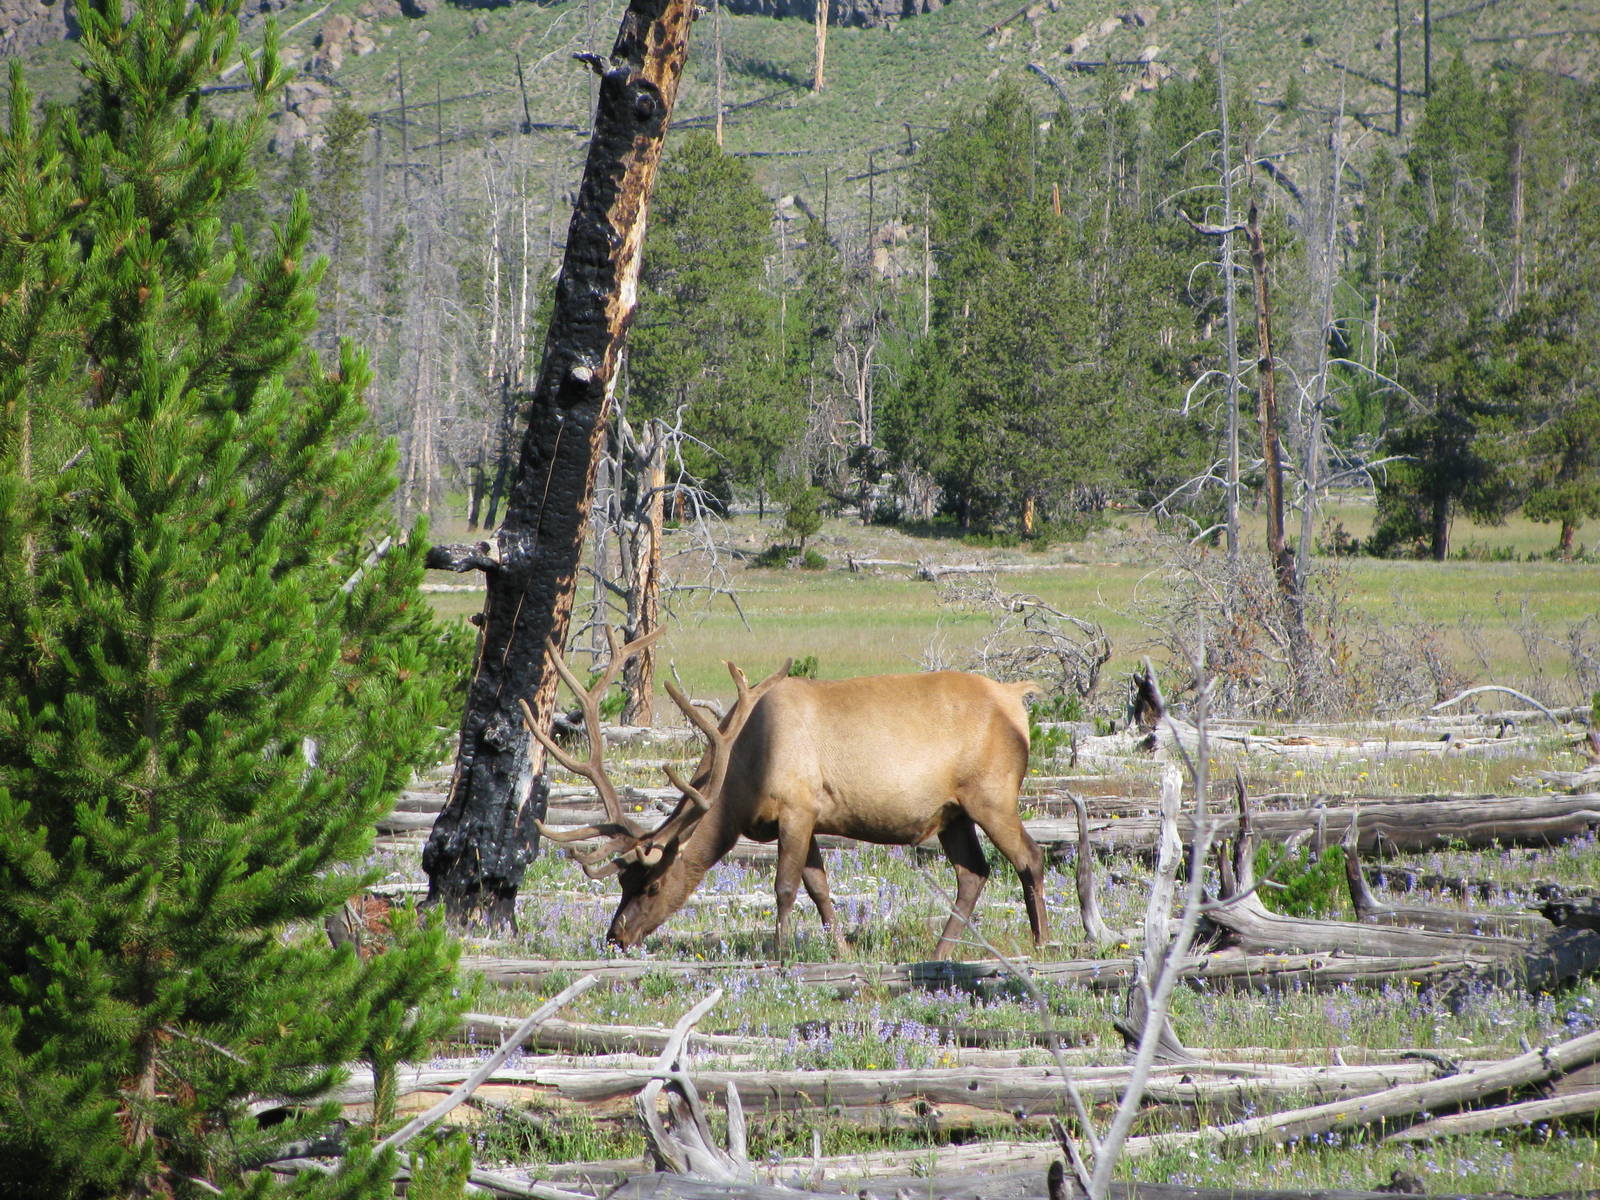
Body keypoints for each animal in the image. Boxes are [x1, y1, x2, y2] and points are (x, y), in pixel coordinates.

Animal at [522, 629, 1049, 960]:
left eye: (650, 886)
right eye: (621, 884)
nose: (616, 936)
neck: (743, 774)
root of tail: (1017, 697)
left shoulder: (798, 807)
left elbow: (785, 886)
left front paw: (780, 955)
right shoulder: (807, 816)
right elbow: (819, 887)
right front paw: (841, 951)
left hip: (993, 795)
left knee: (1030, 857)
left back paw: (1044, 942)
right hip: (953, 812)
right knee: (973, 873)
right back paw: (942, 952)